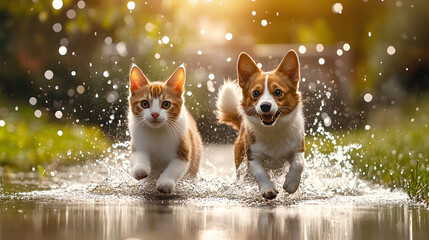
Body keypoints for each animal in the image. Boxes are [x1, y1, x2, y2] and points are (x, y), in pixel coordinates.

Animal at [127, 63, 202, 193]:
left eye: (166, 104)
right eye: (144, 103)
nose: (155, 114)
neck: (157, 131)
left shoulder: (183, 150)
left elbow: (175, 168)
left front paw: (165, 182)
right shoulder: (138, 142)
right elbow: (138, 155)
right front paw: (140, 169)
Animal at [217, 51, 304, 201]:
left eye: (278, 92)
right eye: (255, 93)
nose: (265, 106)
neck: (273, 129)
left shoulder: (298, 148)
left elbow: (298, 164)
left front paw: (291, 184)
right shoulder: (252, 157)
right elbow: (260, 172)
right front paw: (267, 189)